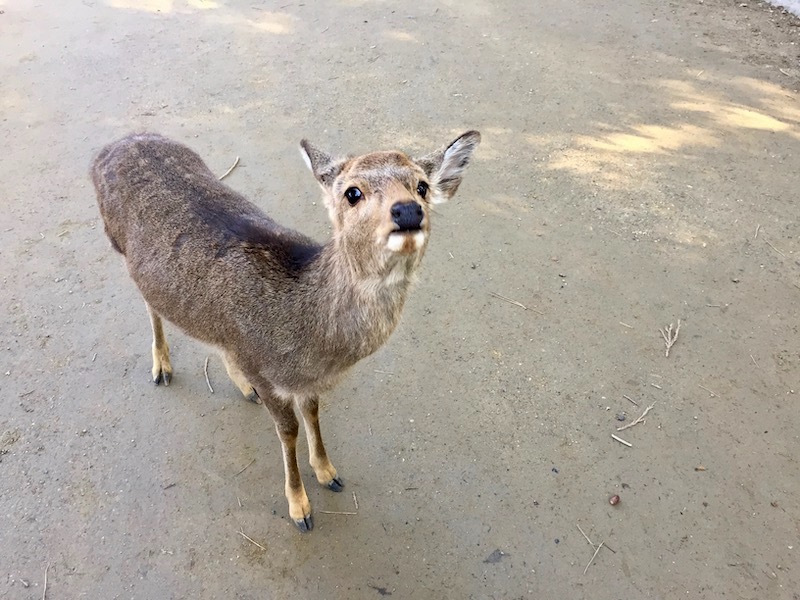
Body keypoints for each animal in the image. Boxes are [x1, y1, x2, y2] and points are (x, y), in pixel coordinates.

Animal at [94, 130, 482, 528]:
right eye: (352, 192)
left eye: (421, 186)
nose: (407, 210)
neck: (311, 346)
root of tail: (117, 142)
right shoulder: (265, 371)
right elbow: (289, 430)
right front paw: (300, 507)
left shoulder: (300, 379)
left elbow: (312, 413)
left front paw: (328, 472)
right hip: (117, 244)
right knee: (149, 302)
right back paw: (162, 368)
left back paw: (239, 384)